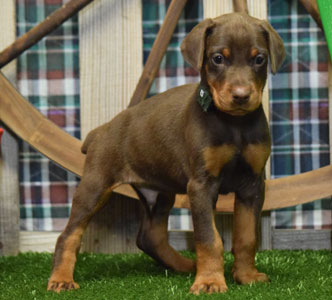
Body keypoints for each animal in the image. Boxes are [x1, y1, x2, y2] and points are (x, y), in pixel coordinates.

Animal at [47, 12, 286, 296]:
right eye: (218, 58)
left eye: (259, 59)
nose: (241, 96)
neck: (234, 125)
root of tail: (99, 131)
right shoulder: (201, 185)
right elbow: (208, 237)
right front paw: (210, 281)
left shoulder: (252, 184)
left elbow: (247, 236)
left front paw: (246, 275)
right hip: (95, 185)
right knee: (69, 234)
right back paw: (61, 278)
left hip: (160, 191)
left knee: (150, 237)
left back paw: (184, 265)